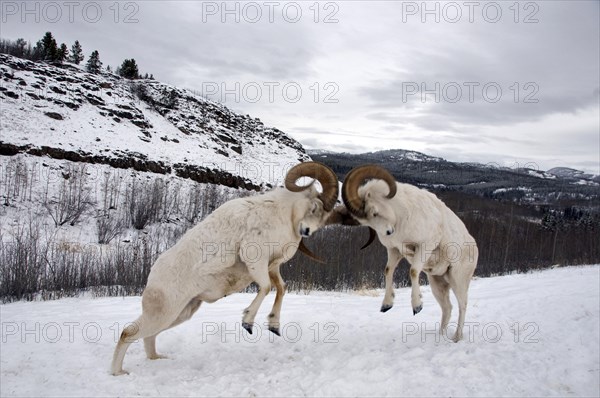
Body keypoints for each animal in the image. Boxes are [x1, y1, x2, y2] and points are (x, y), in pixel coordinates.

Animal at [111, 160, 338, 374]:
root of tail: (153, 275)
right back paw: (118, 372)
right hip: (163, 314)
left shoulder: (272, 267)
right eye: (315, 207)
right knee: (128, 333)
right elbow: (266, 288)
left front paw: (274, 326)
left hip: (180, 314)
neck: (279, 214)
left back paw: (157, 359)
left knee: (149, 337)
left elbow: (281, 288)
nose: (306, 231)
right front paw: (247, 322)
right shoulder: (255, 261)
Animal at [342, 165, 478, 342]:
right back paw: (441, 336)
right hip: (437, 284)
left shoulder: (424, 246)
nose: (388, 232)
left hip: (458, 280)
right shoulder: (394, 250)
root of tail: (474, 247)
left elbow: (413, 271)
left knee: (462, 305)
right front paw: (386, 305)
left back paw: (456, 337)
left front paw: (417, 307)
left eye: (374, 212)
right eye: (366, 221)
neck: (401, 216)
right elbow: (388, 271)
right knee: (447, 308)